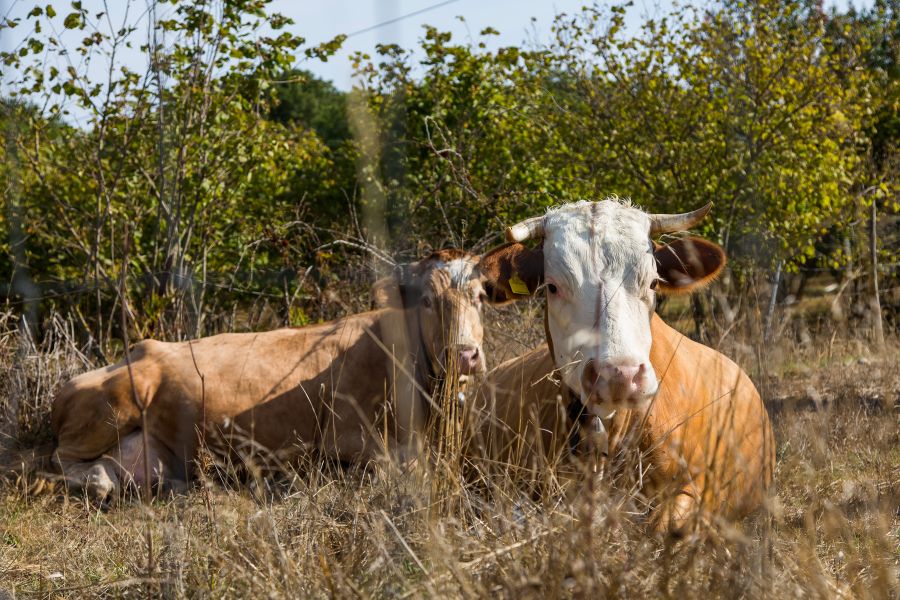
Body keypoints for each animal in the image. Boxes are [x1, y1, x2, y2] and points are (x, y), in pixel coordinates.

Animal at [52, 248, 510, 502]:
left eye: (479, 297)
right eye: (428, 300)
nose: (466, 355)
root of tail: (136, 348)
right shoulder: (348, 437)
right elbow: (407, 466)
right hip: (115, 401)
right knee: (59, 460)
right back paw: (100, 484)